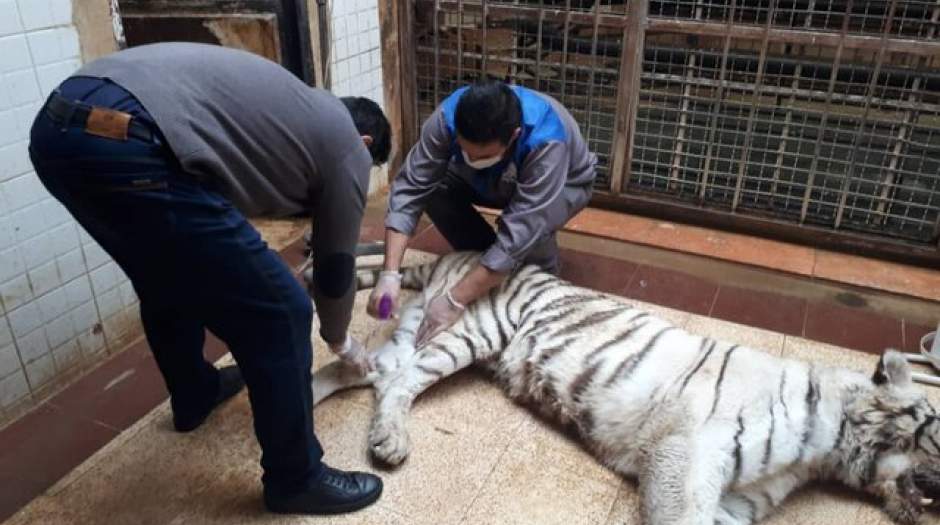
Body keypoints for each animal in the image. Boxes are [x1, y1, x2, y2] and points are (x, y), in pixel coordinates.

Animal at [312, 252, 940, 520]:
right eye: (938, 432)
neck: (831, 449)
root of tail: (455, 250)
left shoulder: (738, 502)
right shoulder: (686, 454)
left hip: (417, 333)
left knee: (362, 370)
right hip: (468, 331)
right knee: (398, 382)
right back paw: (390, 443)